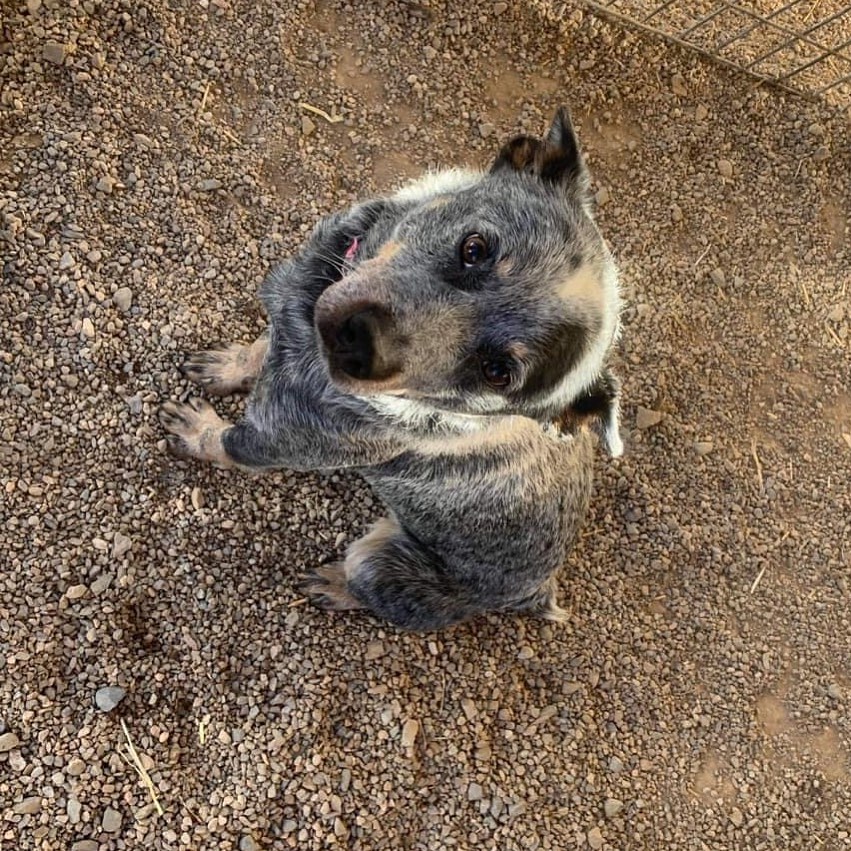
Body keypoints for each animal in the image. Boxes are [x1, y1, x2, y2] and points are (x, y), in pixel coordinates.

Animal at [160, 110, 624, 632]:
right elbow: (260, 348)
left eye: (497, 372)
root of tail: (536, 591)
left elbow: (226, 443)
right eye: (475, 248)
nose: (357, 342)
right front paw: (228, 365)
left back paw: (333, 585)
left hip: (376, 561)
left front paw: (197, 430)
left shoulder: (279, 442)